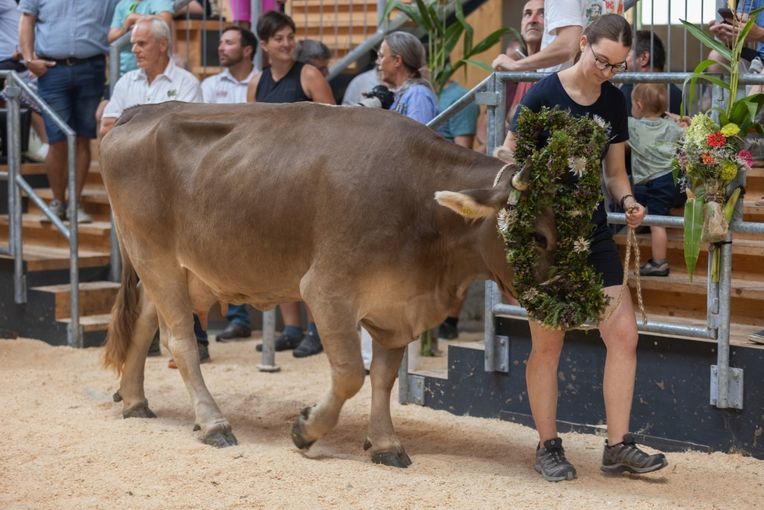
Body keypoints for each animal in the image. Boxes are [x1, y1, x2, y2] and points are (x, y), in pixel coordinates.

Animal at [101, 101, 556, 468]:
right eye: (538, 235)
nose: (569, 308)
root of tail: (141, 111)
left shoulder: (393, 307)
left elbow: (383, 378)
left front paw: (386, 443)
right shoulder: (326, 290)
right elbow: (351, 373)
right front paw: (306, 430)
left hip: (182, 272)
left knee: (143, 321)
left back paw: (135, 400)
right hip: (156, 258)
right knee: (180, 340)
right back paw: (213, 423)